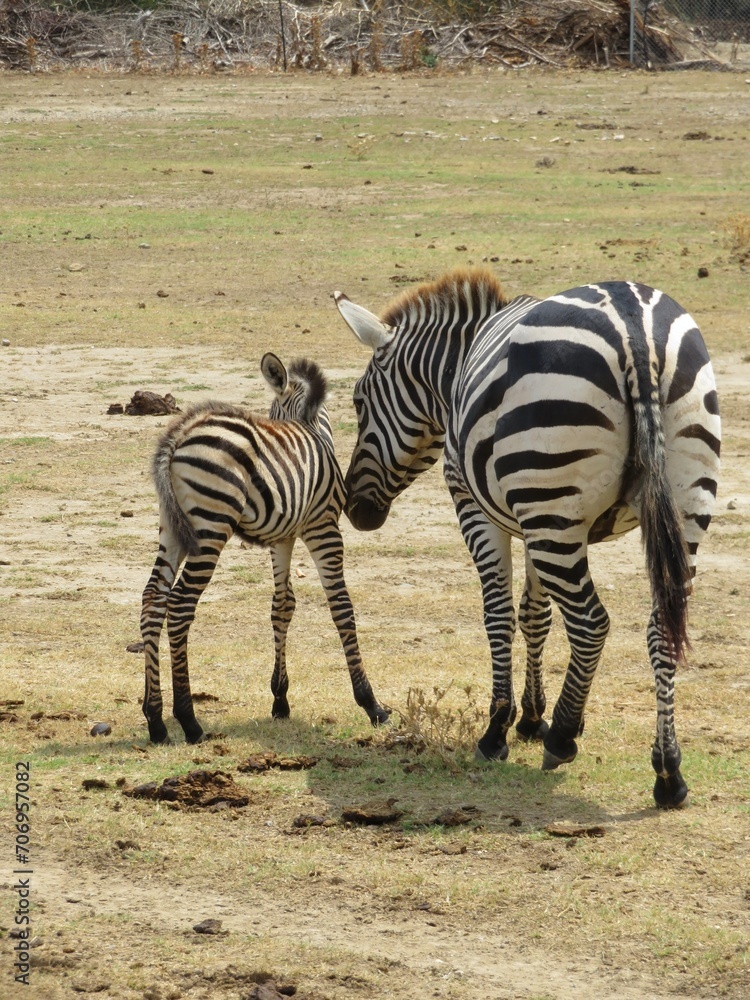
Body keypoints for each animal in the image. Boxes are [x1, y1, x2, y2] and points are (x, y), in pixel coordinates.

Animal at [140, 352, 389, 744]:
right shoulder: (323, 527)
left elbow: (282, 605)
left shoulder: (282, 537)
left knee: (153, 598)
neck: (310, 426)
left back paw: (156, 720)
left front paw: (280, 700)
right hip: (211, 525)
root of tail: (178, 435)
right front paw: (370, 703)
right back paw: (189, 721)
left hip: (173, 527)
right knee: (179, 606)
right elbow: (341, 606)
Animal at [334, 268, 720, 808]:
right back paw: (667, 771)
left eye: (358, 401)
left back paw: (564, 737)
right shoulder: (537, 519)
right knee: (661, 625)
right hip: (672, 504)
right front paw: (533, 717)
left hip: (552, 490)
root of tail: (635, 328)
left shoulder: (479, 508)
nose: (355, 510)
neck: (458, 364)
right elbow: (535, 614)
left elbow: (498, 614)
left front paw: (500, 728)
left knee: (591, 623)